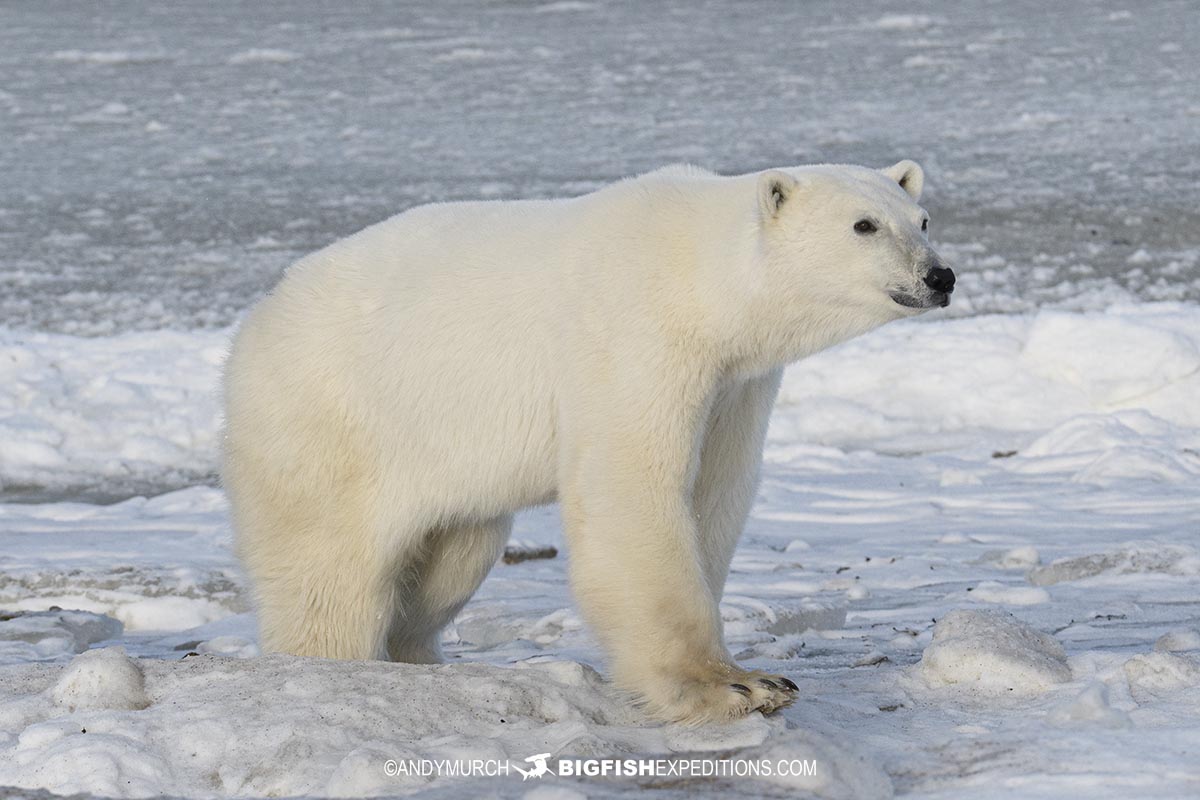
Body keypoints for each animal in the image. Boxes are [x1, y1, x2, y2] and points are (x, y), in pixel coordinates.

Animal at [223, 160, 955, 724]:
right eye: (863, 225)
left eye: (921, 220)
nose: (939, 277)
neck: (698, 275)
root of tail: (255, 323)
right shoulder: (634, 336)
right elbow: (632, 489)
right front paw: (736, 686)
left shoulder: (736, 383)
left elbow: (716, 491)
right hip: (332, 426)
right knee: (328, 574)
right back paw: (337, 664)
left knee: (450, 558)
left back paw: (425, 658)